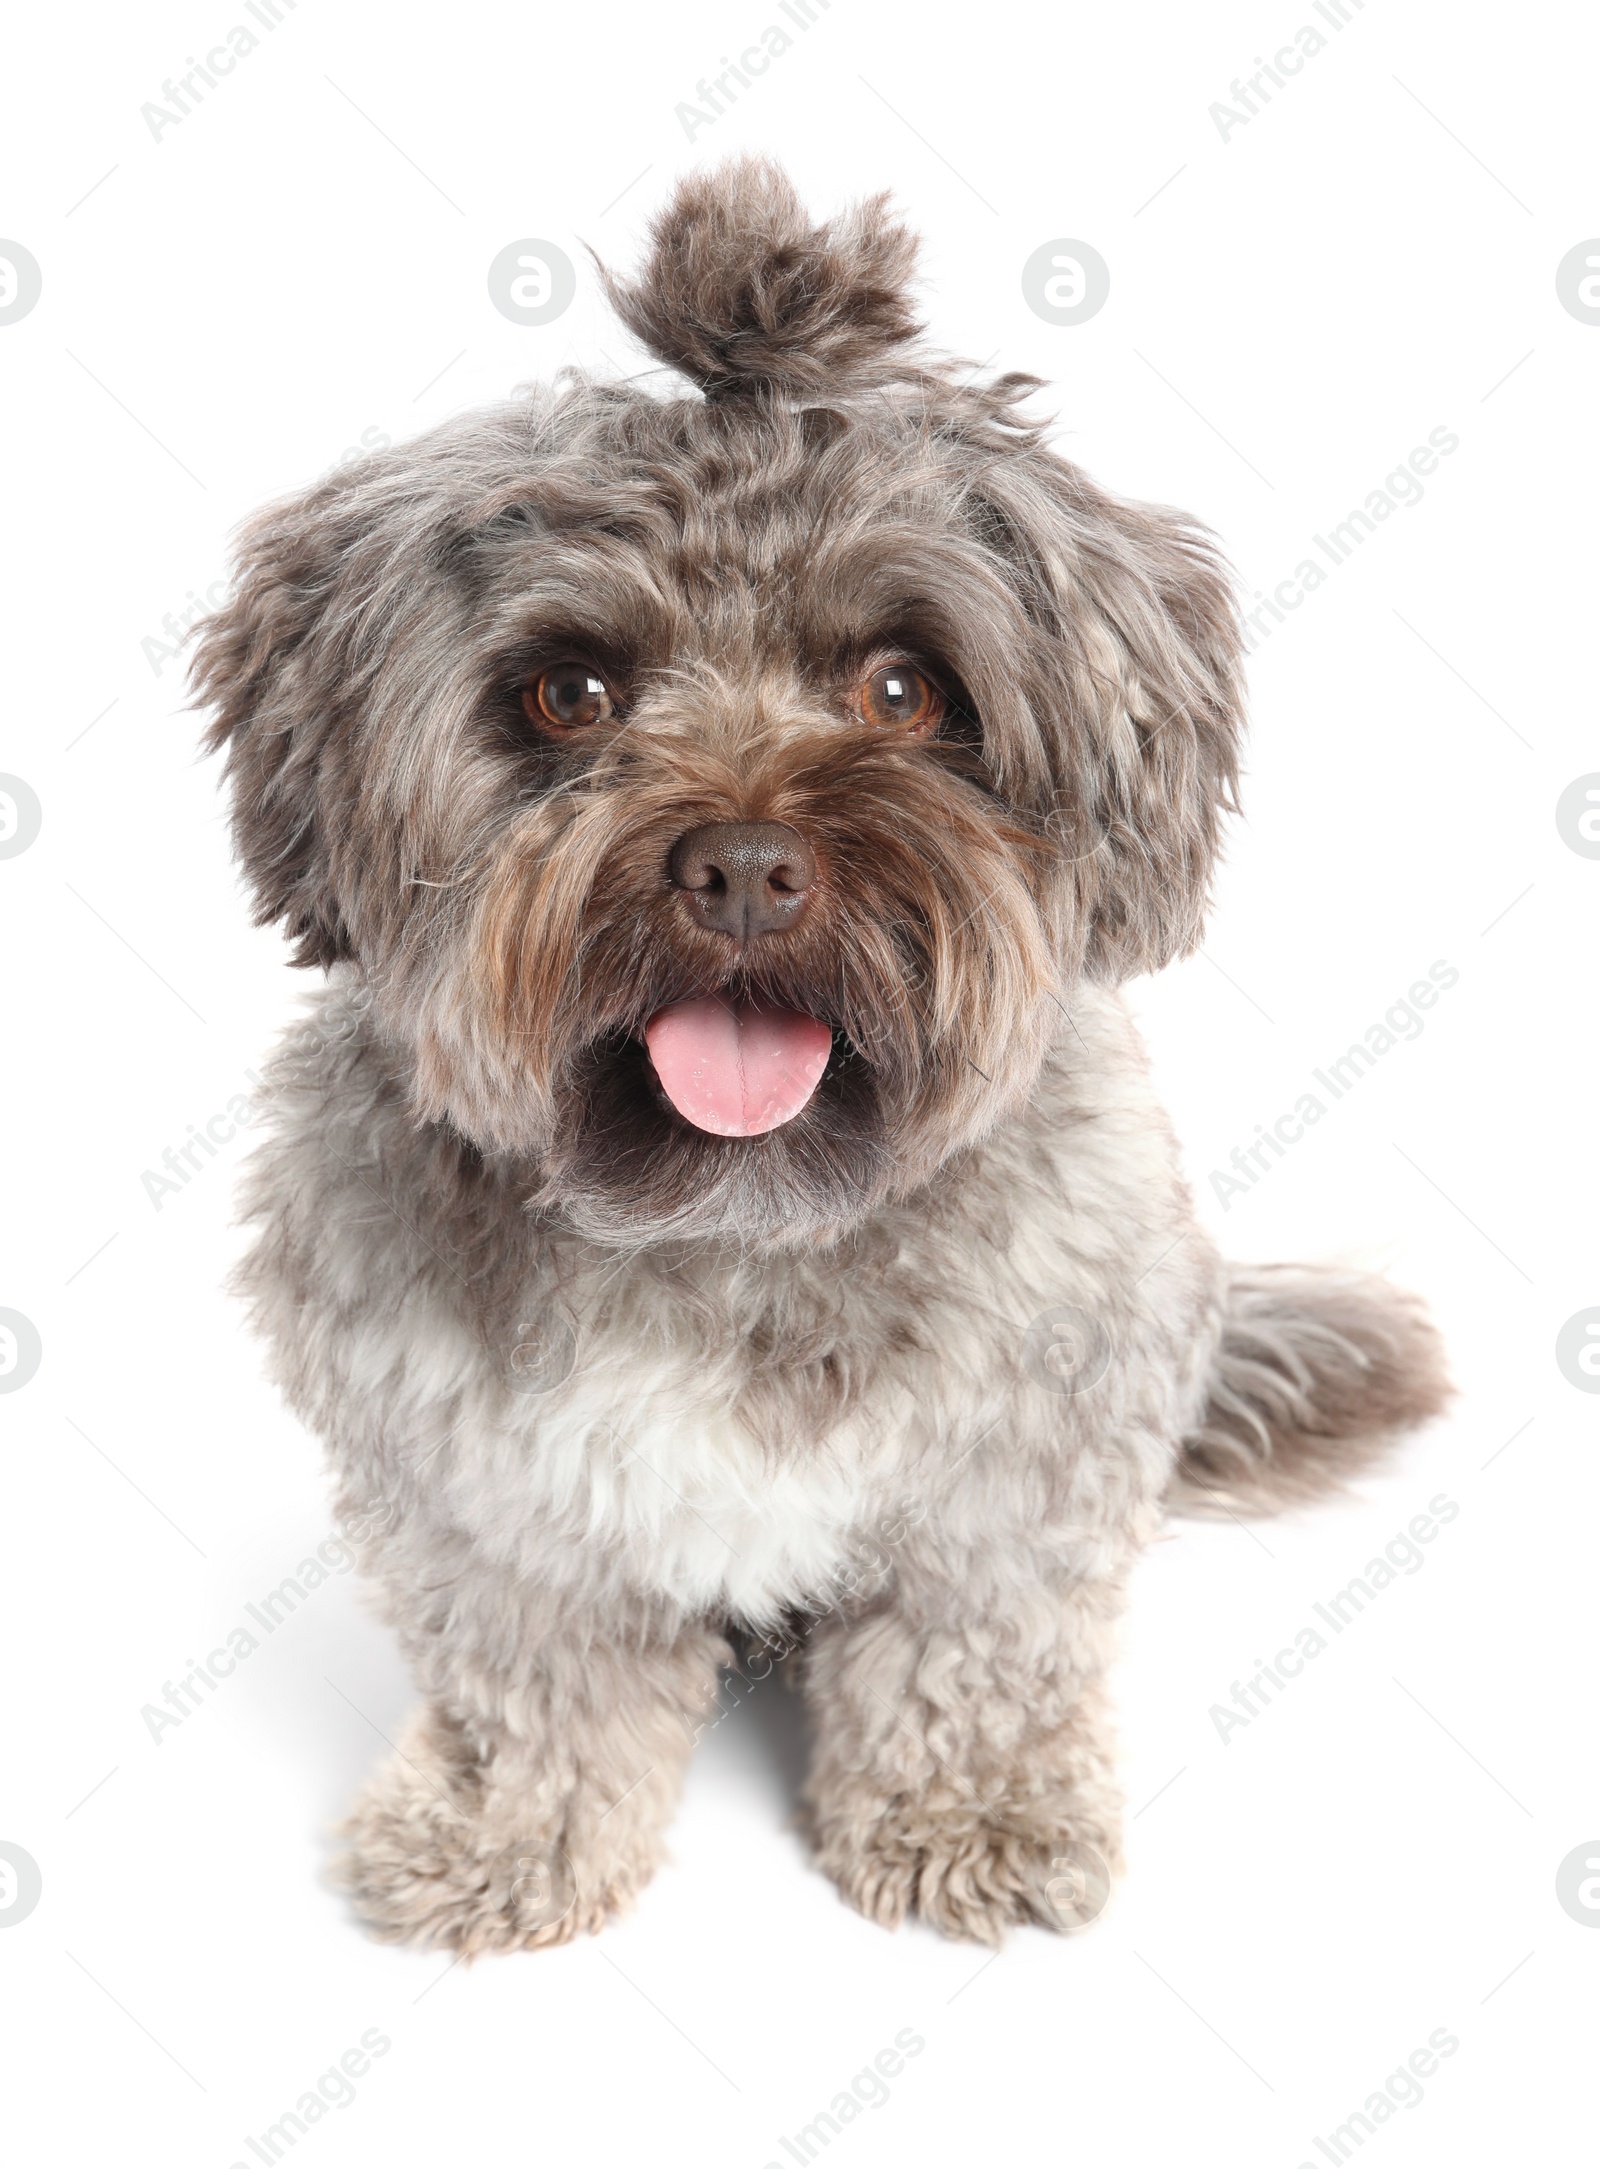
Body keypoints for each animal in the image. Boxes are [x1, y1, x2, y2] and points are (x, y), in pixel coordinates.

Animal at [189, 157, 1448, 1952]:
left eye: (905, 686)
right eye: (571, 691)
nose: (740, 866)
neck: (729, 1220)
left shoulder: (1017, 1463)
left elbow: (969, 1654)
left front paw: (970, 1811)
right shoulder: (477, 1489)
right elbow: (531, 1680)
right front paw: (509, 1833)